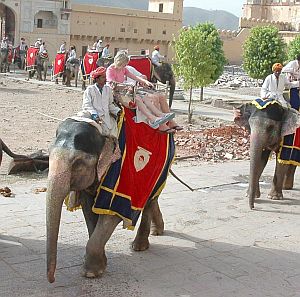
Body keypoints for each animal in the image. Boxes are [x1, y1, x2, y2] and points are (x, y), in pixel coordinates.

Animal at [46, 116, 169, 282]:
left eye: (78, 163)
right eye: (48, 156)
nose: (52, 279)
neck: (101, 133)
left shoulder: (121, 178)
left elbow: (111, 216)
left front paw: (91, 273)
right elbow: (89, 211)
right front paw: (101, 264)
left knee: (150, 200)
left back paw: (138, 246)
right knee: (152, 199)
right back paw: (157, 231)